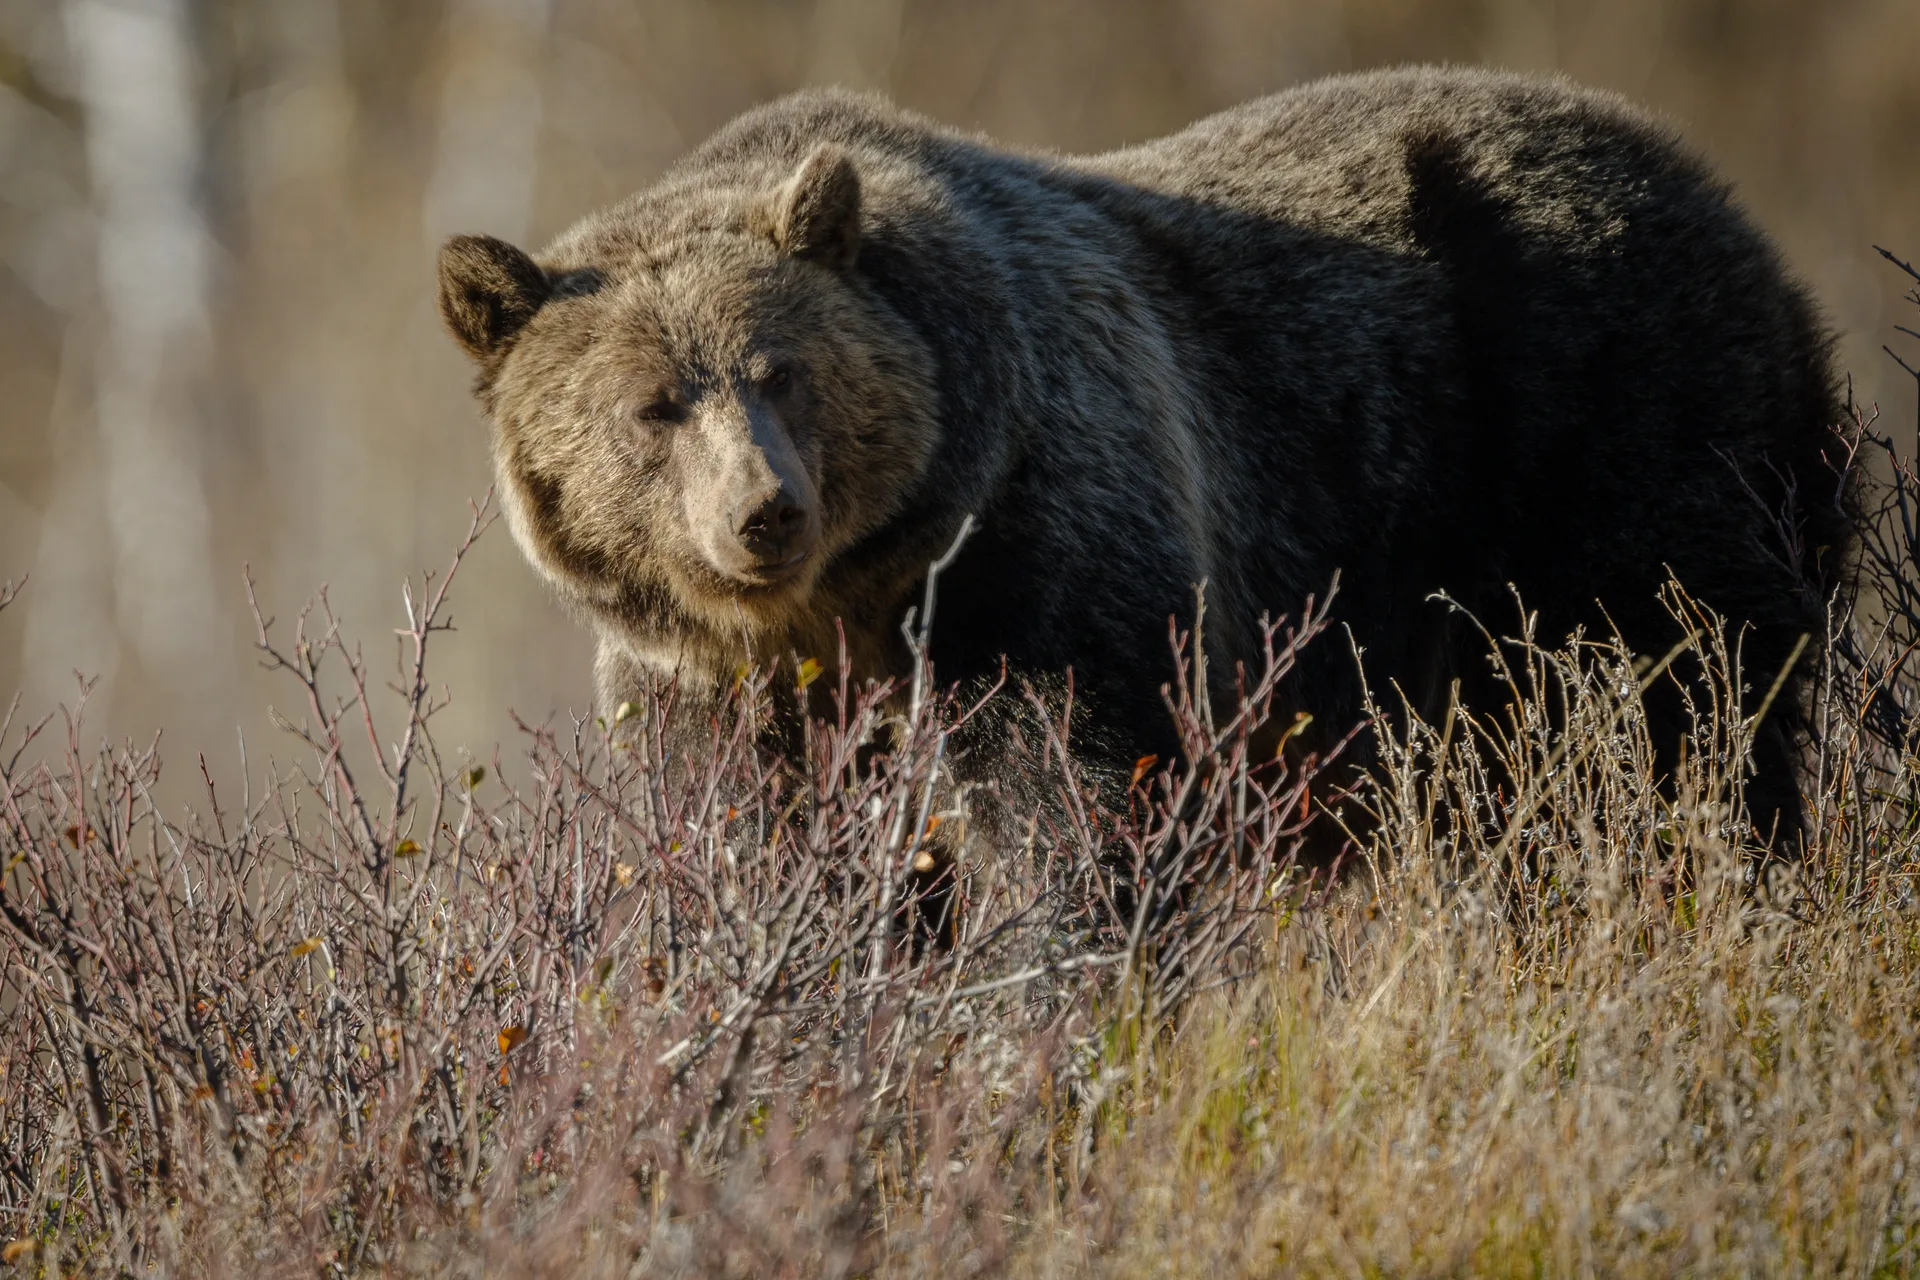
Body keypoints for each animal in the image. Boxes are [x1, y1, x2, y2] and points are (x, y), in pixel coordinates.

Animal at [438, 65, 1852, 850]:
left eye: (781, 369)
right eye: (652, 405)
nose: (763, 513)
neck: (858, 597)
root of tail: (1727, 201)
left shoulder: (1045, 545)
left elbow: (1077, 785)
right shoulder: (717, 681)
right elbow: (748, 832)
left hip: (1618, 431)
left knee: (1681, 706)